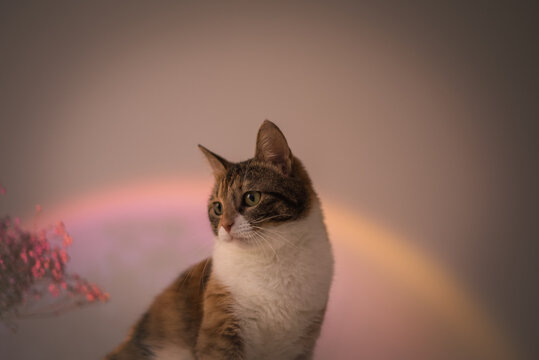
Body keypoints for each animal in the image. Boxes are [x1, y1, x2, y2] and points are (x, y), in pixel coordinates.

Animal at [105, 119, 334, 358]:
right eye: (218, 207)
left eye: (252, 198)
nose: (225, 225)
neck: (269, 258)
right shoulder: (221, 329)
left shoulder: (301, 344)